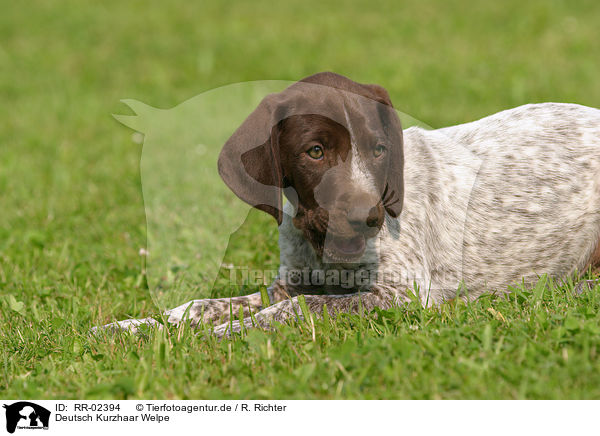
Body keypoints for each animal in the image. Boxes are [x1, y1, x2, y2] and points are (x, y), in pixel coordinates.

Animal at [98, 71, 600, 338]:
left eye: (380, 150)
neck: (318, 237)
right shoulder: (289, 282)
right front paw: (135, 327)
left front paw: (227, 333)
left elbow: (293, 310)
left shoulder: (403, 294)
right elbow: (201, 305)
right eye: (315, 152)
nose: (369, 218)